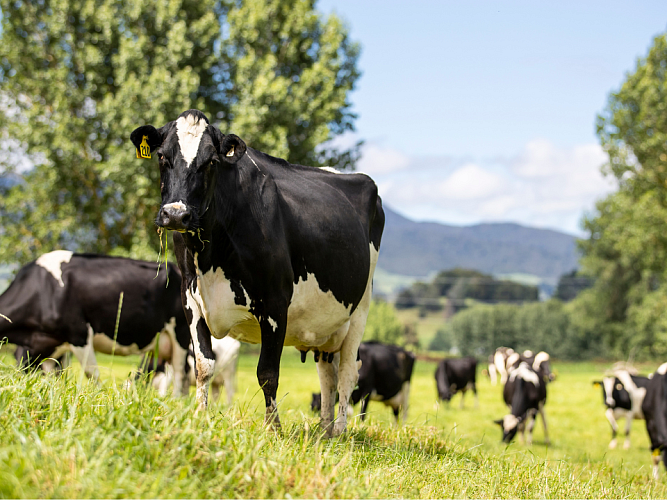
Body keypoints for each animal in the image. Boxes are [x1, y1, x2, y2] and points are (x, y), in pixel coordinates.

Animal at [0, 251, 190, 394]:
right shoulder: (46, 345)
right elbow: (52, 374)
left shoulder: (79, 334)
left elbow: (92, 373)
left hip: (182, 335)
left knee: (179, 374)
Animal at [130, 109, 384, 436]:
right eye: (162, 156)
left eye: (211, 161)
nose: (176, 214)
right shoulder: (191, 299)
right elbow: (203, 365)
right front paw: (200, 418)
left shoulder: (275, 303)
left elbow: (267, 372)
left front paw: (272, 428)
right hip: (326, 326)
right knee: (327, 372)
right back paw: (324, 430)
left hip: (360, 309)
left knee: (348, 371)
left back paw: (339, 430)